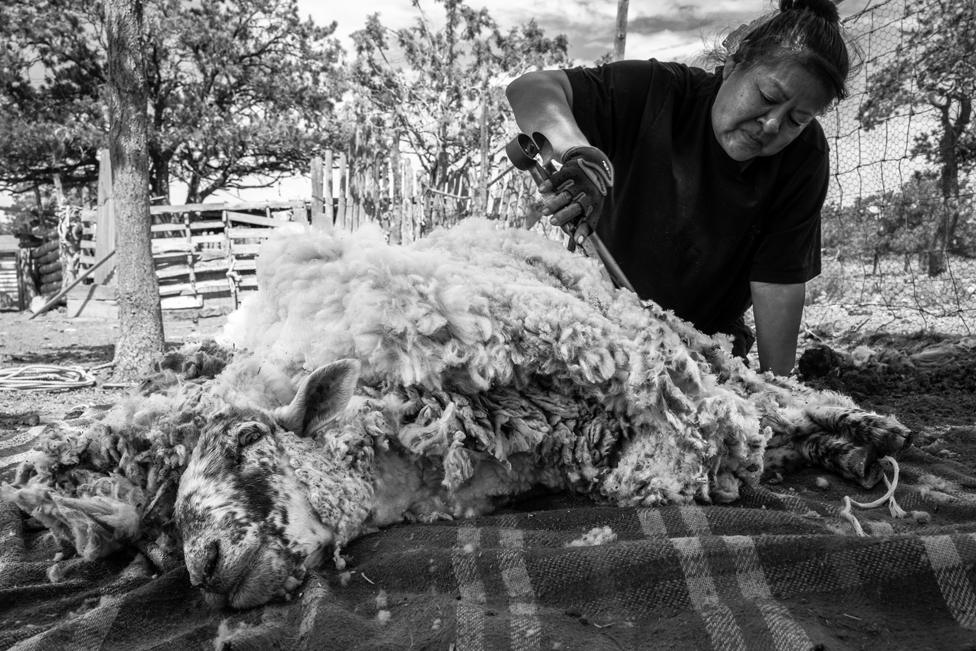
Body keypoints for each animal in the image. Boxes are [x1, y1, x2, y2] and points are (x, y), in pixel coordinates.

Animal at [1, 219, 916, 612]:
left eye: (250, 440)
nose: (206, 566)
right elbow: (657, 464)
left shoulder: (616, 351)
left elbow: (708, 428)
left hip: (652, 321)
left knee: (755, 384)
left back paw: (861, 433)